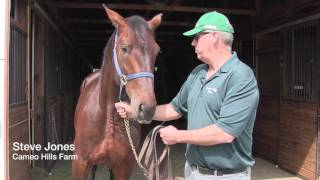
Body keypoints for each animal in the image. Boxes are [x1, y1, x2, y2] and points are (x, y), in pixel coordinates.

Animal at [73, 4, 162, 179]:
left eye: (157, 51)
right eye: (124, 48)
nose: (147, 108)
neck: (106, 116)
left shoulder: (123, 167)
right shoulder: (80, 164)